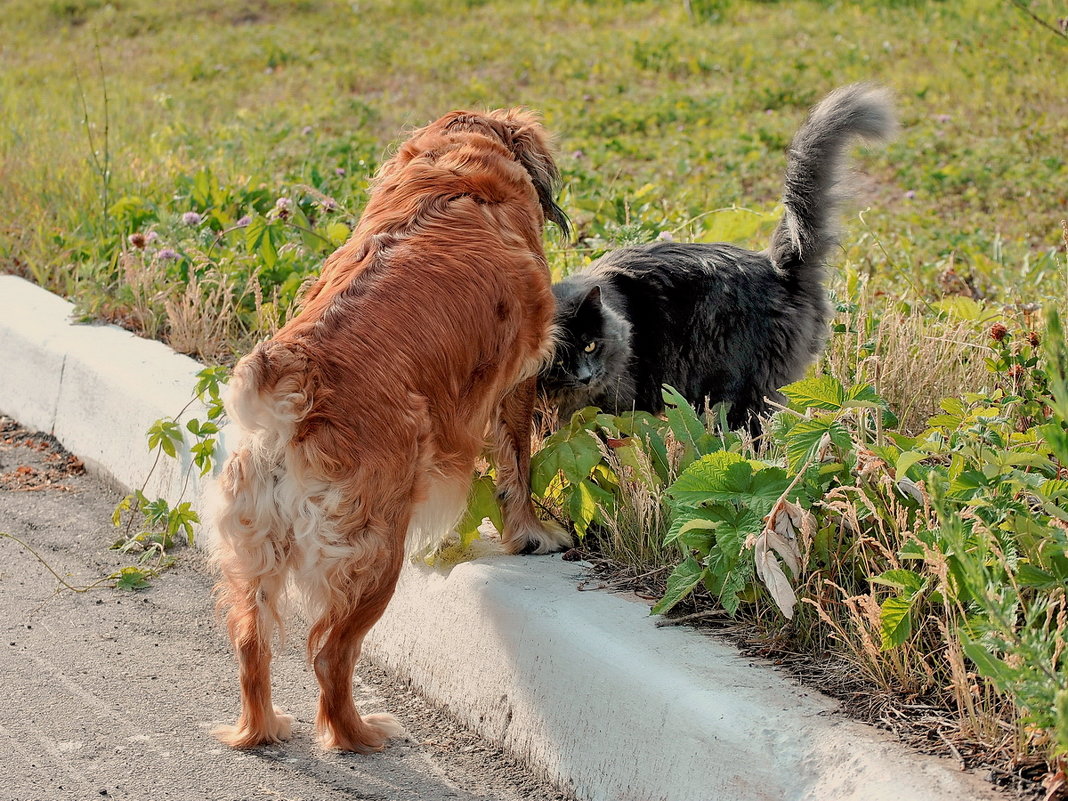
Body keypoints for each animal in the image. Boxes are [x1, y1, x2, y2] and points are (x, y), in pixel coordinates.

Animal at [210, 110, 576, 756]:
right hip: (377, 550)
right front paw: (532, 535)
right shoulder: (517, 381)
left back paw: (262, 729)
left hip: (255, 545)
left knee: (252, 645)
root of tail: (288, 384)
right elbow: (518, 467)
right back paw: (357, 734)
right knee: (330, 656)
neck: (457, 172)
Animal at [538, 83, 897, 433]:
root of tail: (776, 267)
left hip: (738, 394)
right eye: (560, 359)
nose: (585, 376)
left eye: (590, 346)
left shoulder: (618, 404)